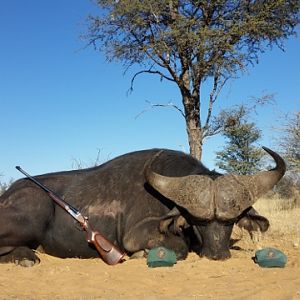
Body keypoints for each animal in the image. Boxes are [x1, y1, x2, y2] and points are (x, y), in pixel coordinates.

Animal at [0, 146, 284, 266]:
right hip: (35, 209)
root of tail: (8, 194)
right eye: (197, 222)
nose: (217, 255)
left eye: (230, 222)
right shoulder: (136, 235)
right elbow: (179, 247)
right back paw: (24, 257)